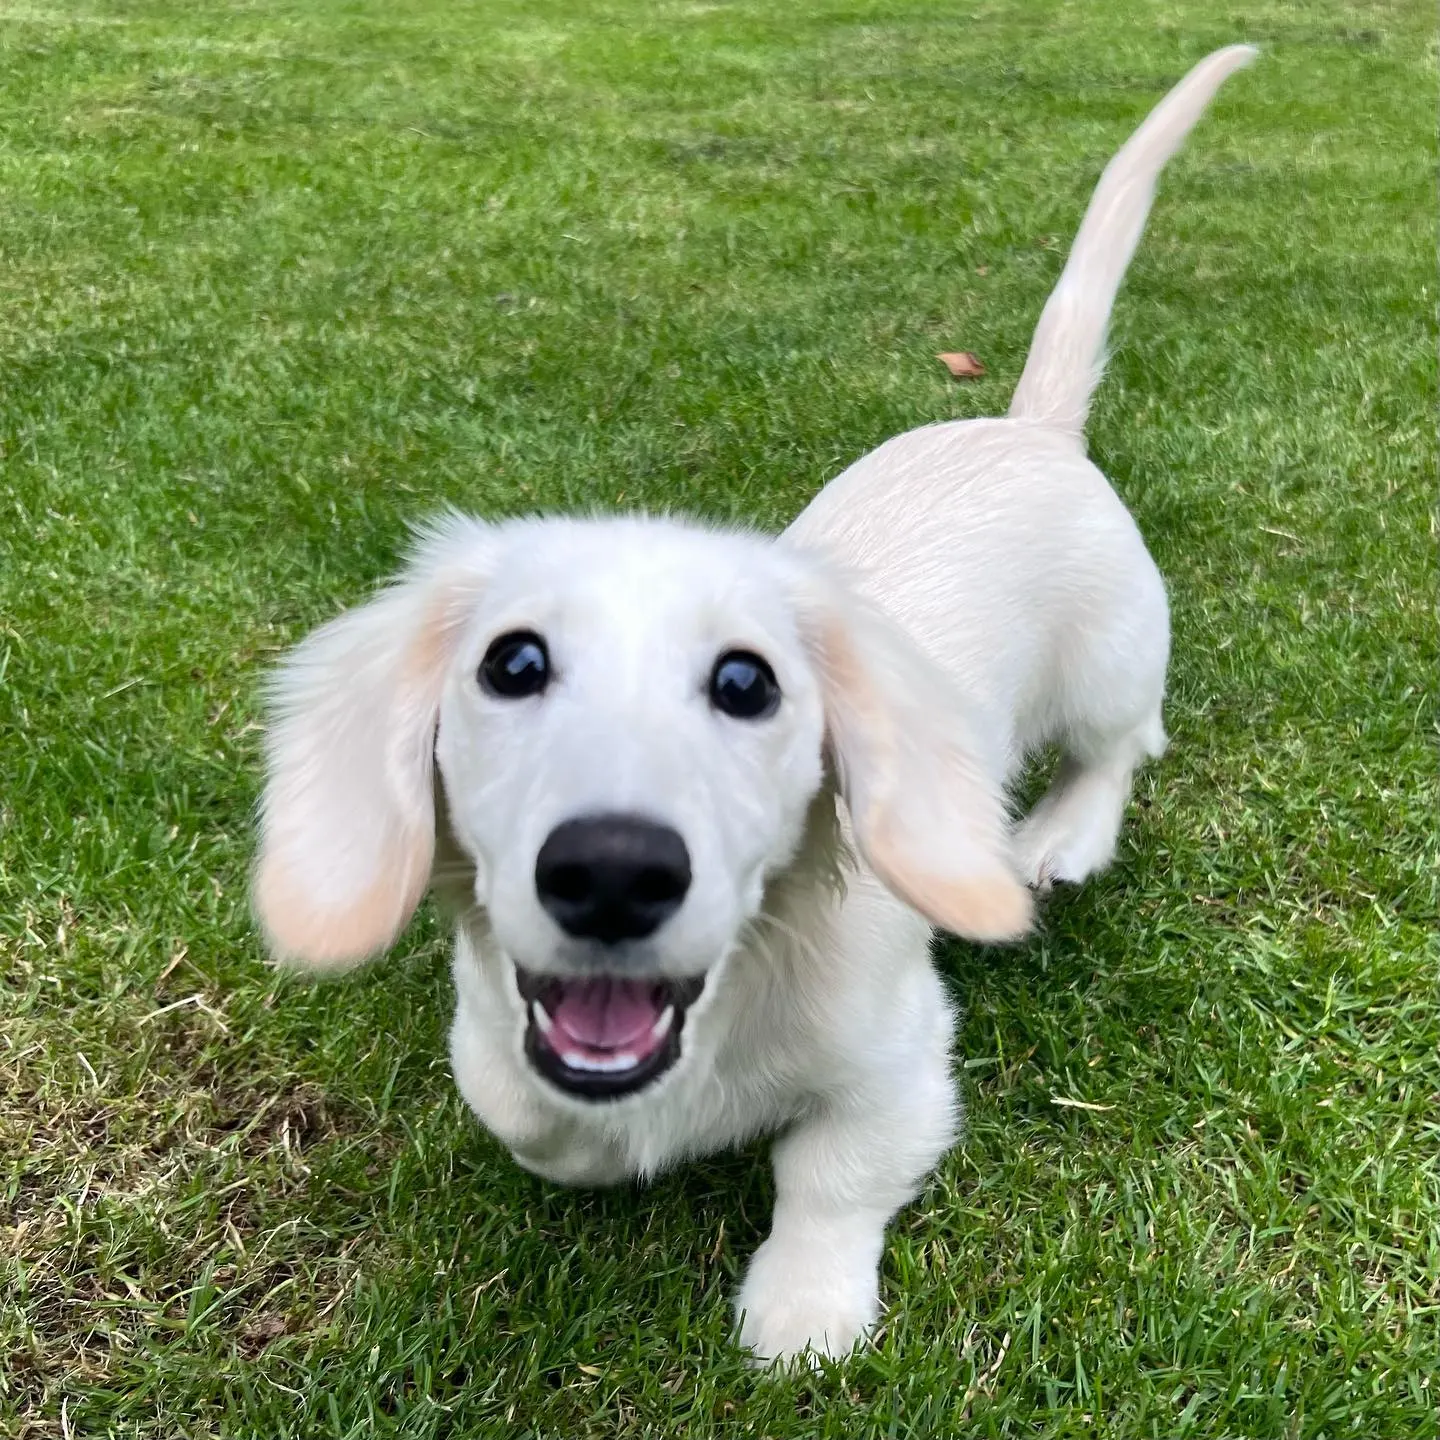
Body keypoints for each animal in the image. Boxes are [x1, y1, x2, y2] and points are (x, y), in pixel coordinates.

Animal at [253, 45, 1255, 1365]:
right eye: (511, 665)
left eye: (747, 682)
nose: (611, 871)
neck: (732, 998)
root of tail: (1030, 426)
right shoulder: (508, 1053)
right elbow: (532, 1115)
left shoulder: (903, 1065)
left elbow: (831, 1174)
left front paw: (804, 1313)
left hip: (1112, 660)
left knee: (1123, 746)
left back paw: (1060, 838)